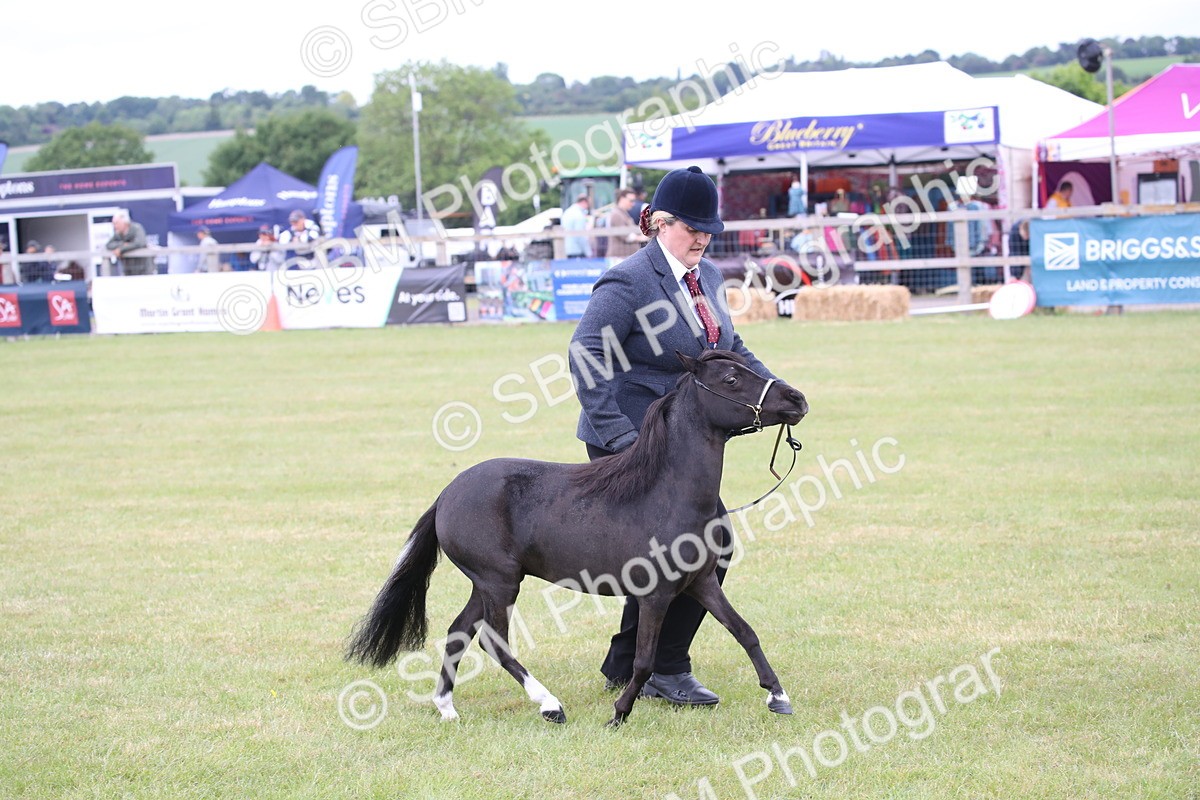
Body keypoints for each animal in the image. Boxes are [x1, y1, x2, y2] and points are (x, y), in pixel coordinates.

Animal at [346, 349, 808, 727]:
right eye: (730, 379)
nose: (797, 400)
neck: (666, 492)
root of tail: (447, 494)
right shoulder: (655, 595)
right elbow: (643, 661)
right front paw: (619, 714)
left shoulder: (702, 583)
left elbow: (746, 632)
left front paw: (778, 697)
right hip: (499, 582)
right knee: (495, 643)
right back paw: (550, 705)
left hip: (486, 584)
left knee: (460, 631)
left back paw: (446, 707)